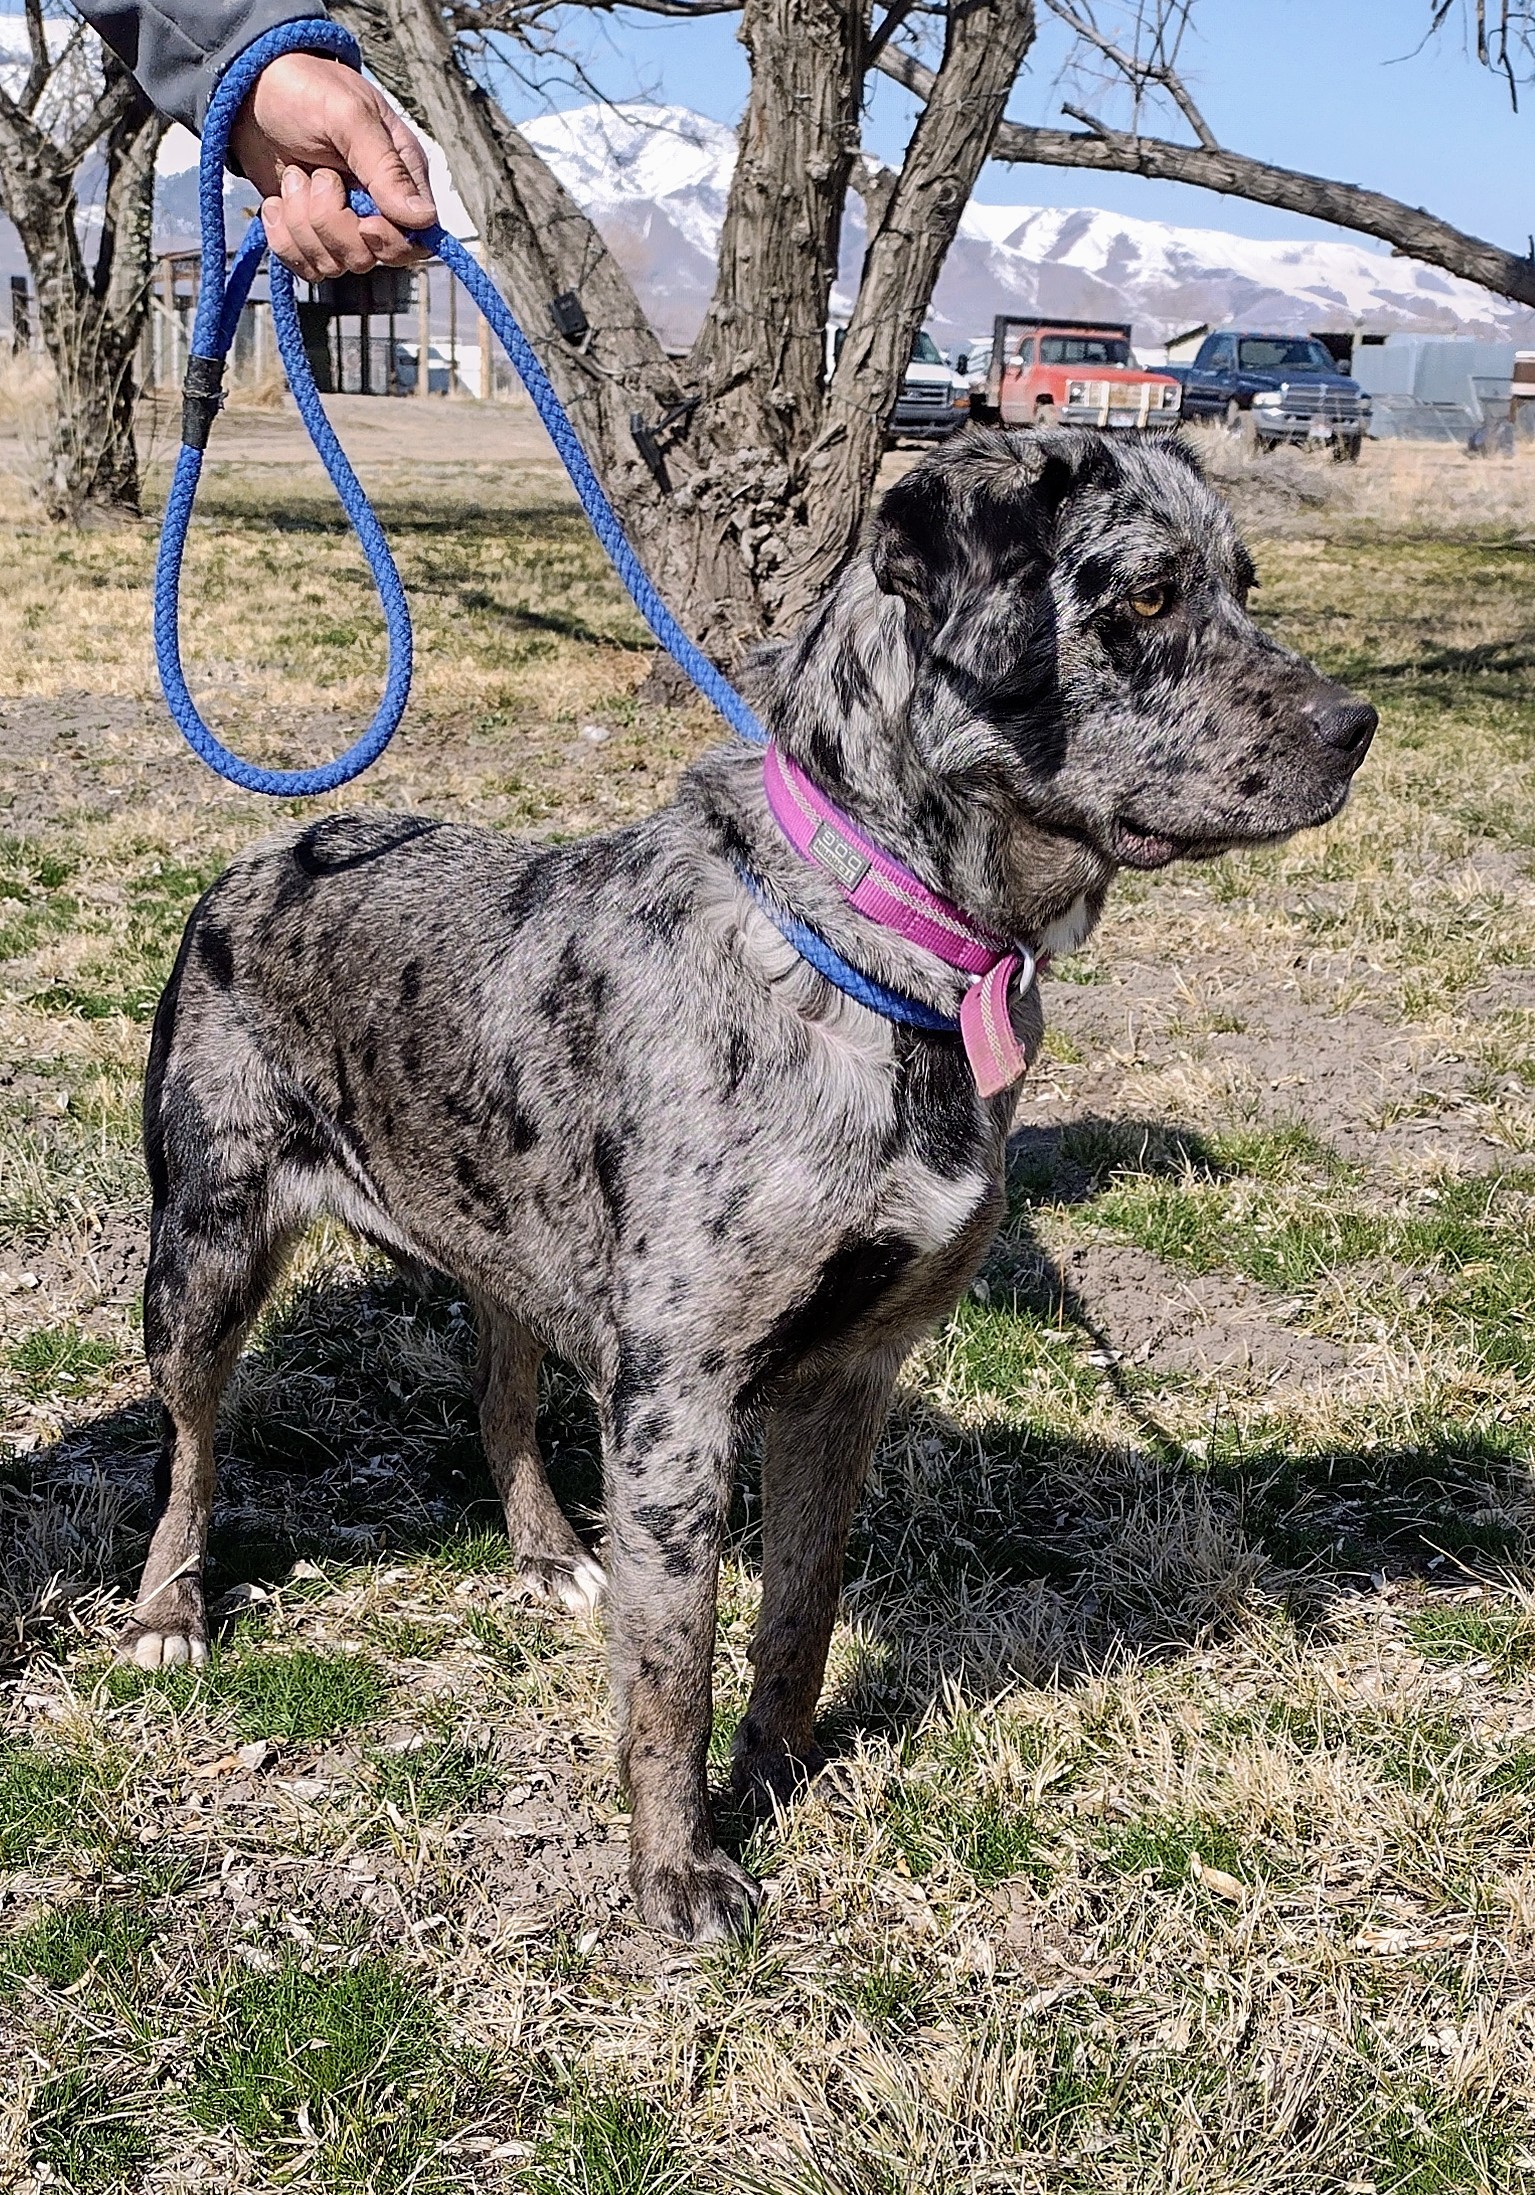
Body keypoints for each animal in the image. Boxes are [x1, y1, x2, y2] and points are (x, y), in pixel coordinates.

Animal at [126, 428, 1379, 1940]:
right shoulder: (678, 1396)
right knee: (191, 1438)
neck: (873, 949)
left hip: (502, 1227)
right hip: (203, 1244)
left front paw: (782, 1765)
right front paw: (678, 1866)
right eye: (1142, 596)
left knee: (497, 1382)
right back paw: (167, 1610)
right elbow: (673, 1654)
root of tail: (274, 847)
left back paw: (542, 1550)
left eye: (1245, 583)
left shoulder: (849, 1372)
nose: (1357, 723)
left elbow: (801, 1606)